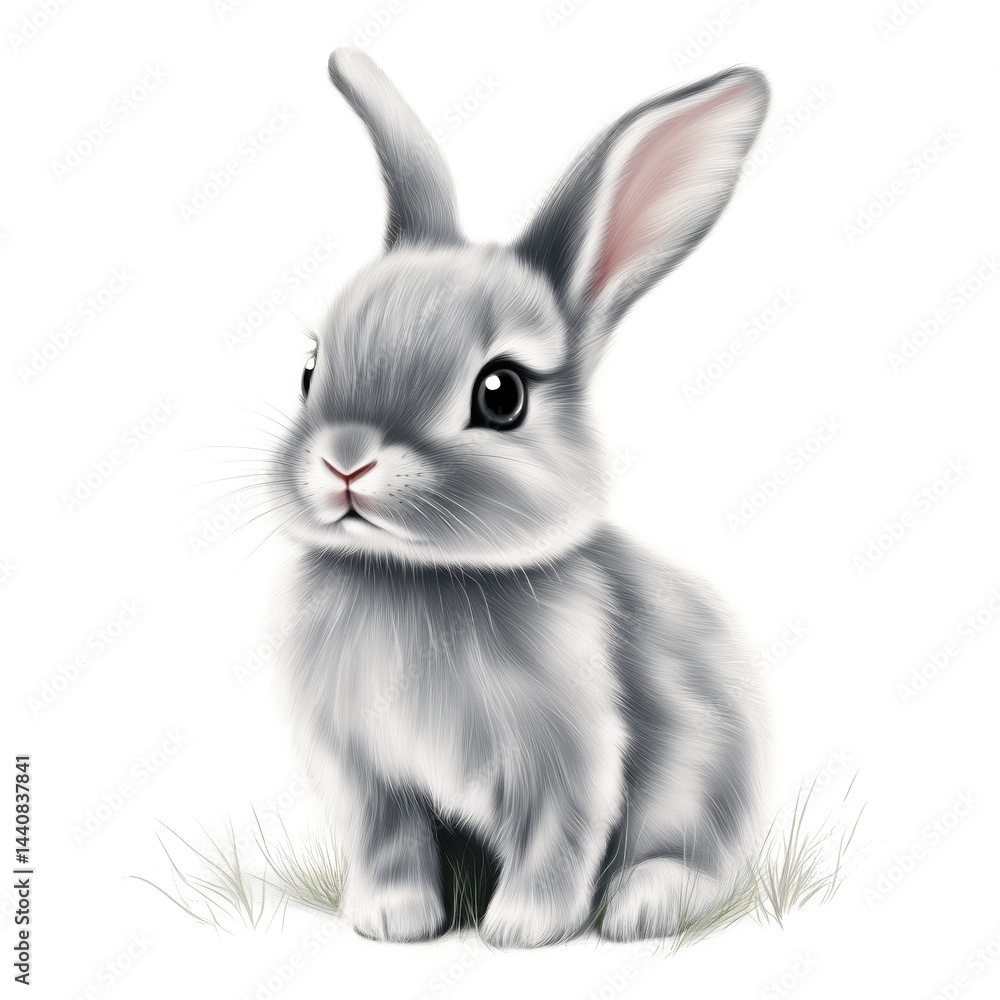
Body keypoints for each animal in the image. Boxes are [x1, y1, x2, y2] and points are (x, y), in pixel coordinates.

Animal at [265, 47, 771, 947]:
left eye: (501, 394)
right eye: (311, 371)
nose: (345, 461)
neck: (418, 578)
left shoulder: (573, 757)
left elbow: (557, 840)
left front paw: (524, 929)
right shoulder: (366, 775)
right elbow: (389, 842)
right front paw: (392, 920)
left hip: (701, 782)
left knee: (696, 861)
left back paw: (644, 904)